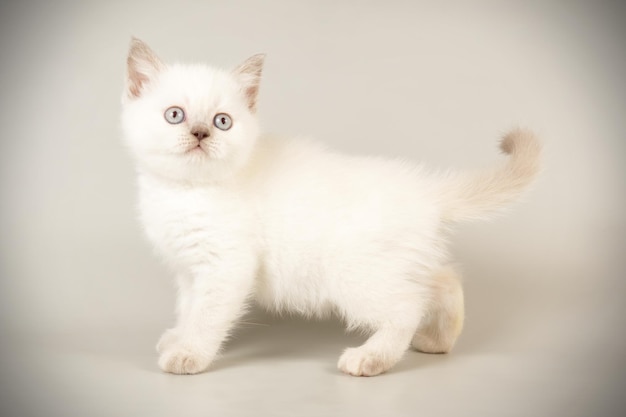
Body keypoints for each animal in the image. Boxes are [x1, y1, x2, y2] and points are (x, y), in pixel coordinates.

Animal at [119, 39, 540, 376]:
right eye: (175, 115)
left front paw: (189, 354)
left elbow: (206, 316)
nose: (201, 134)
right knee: (444, 281)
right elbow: (188, 308)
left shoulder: (225, 266)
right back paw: (439, 340)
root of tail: (424, 190)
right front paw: (178, 337)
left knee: (406, 307)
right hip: (397, 265)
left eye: (223, 122)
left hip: (354, 275)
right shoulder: (188, 268)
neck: (185, 192)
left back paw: (371, 359)